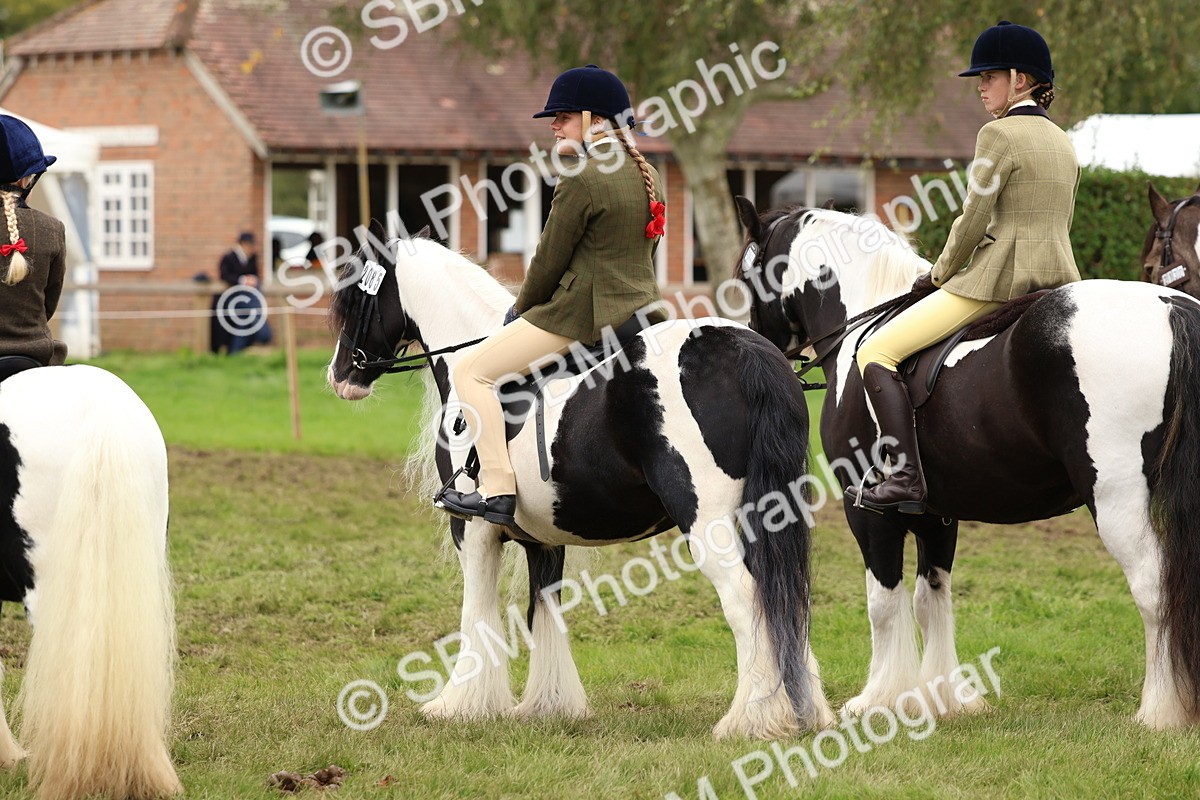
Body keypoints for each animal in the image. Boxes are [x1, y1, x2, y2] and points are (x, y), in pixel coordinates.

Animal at [326, 233, 836, 739]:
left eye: (353, 298)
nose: (339, 376)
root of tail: (744, 347)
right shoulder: (544, 540)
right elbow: (545, 611)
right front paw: (549, 706)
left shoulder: (472, 529)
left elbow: (478, 612)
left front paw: (460, 706)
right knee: (784, 600)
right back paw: (805, 712)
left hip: (710, 525)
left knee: (748, 600)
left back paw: (750, 720)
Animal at [733, 197, 1200, 729]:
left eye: (745, 274)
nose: (760, 344)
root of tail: (1170, 306)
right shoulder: (937, 513)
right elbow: (930, 599)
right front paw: (943, 697)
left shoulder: (867, 510)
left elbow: (884, 602)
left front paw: (878, 699)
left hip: (1116, 498)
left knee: (1153, 587)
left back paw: (1160, 711)